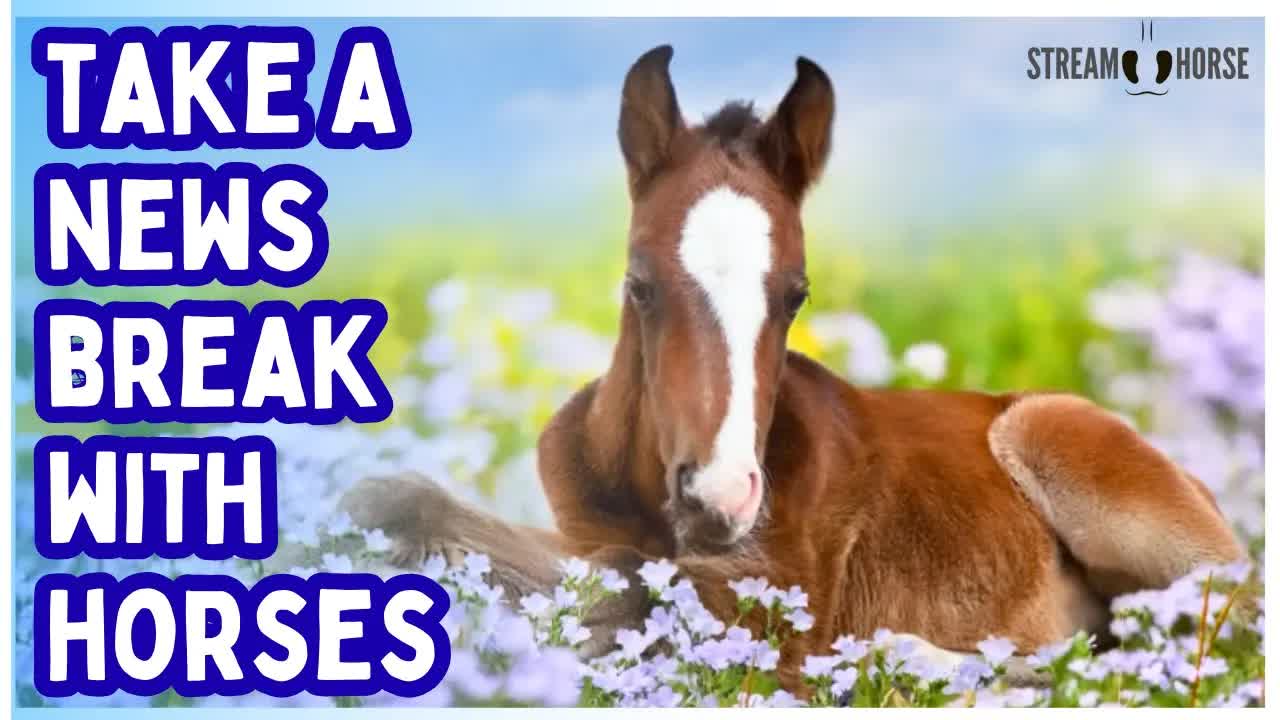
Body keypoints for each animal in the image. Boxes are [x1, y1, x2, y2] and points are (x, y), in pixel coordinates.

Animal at [344, 45, 1245, 682]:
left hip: (1075, 457)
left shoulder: (773, 604)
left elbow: (636, 583)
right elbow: (407, 500)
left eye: (797, 293)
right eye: (638, 283)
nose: (719, 497)